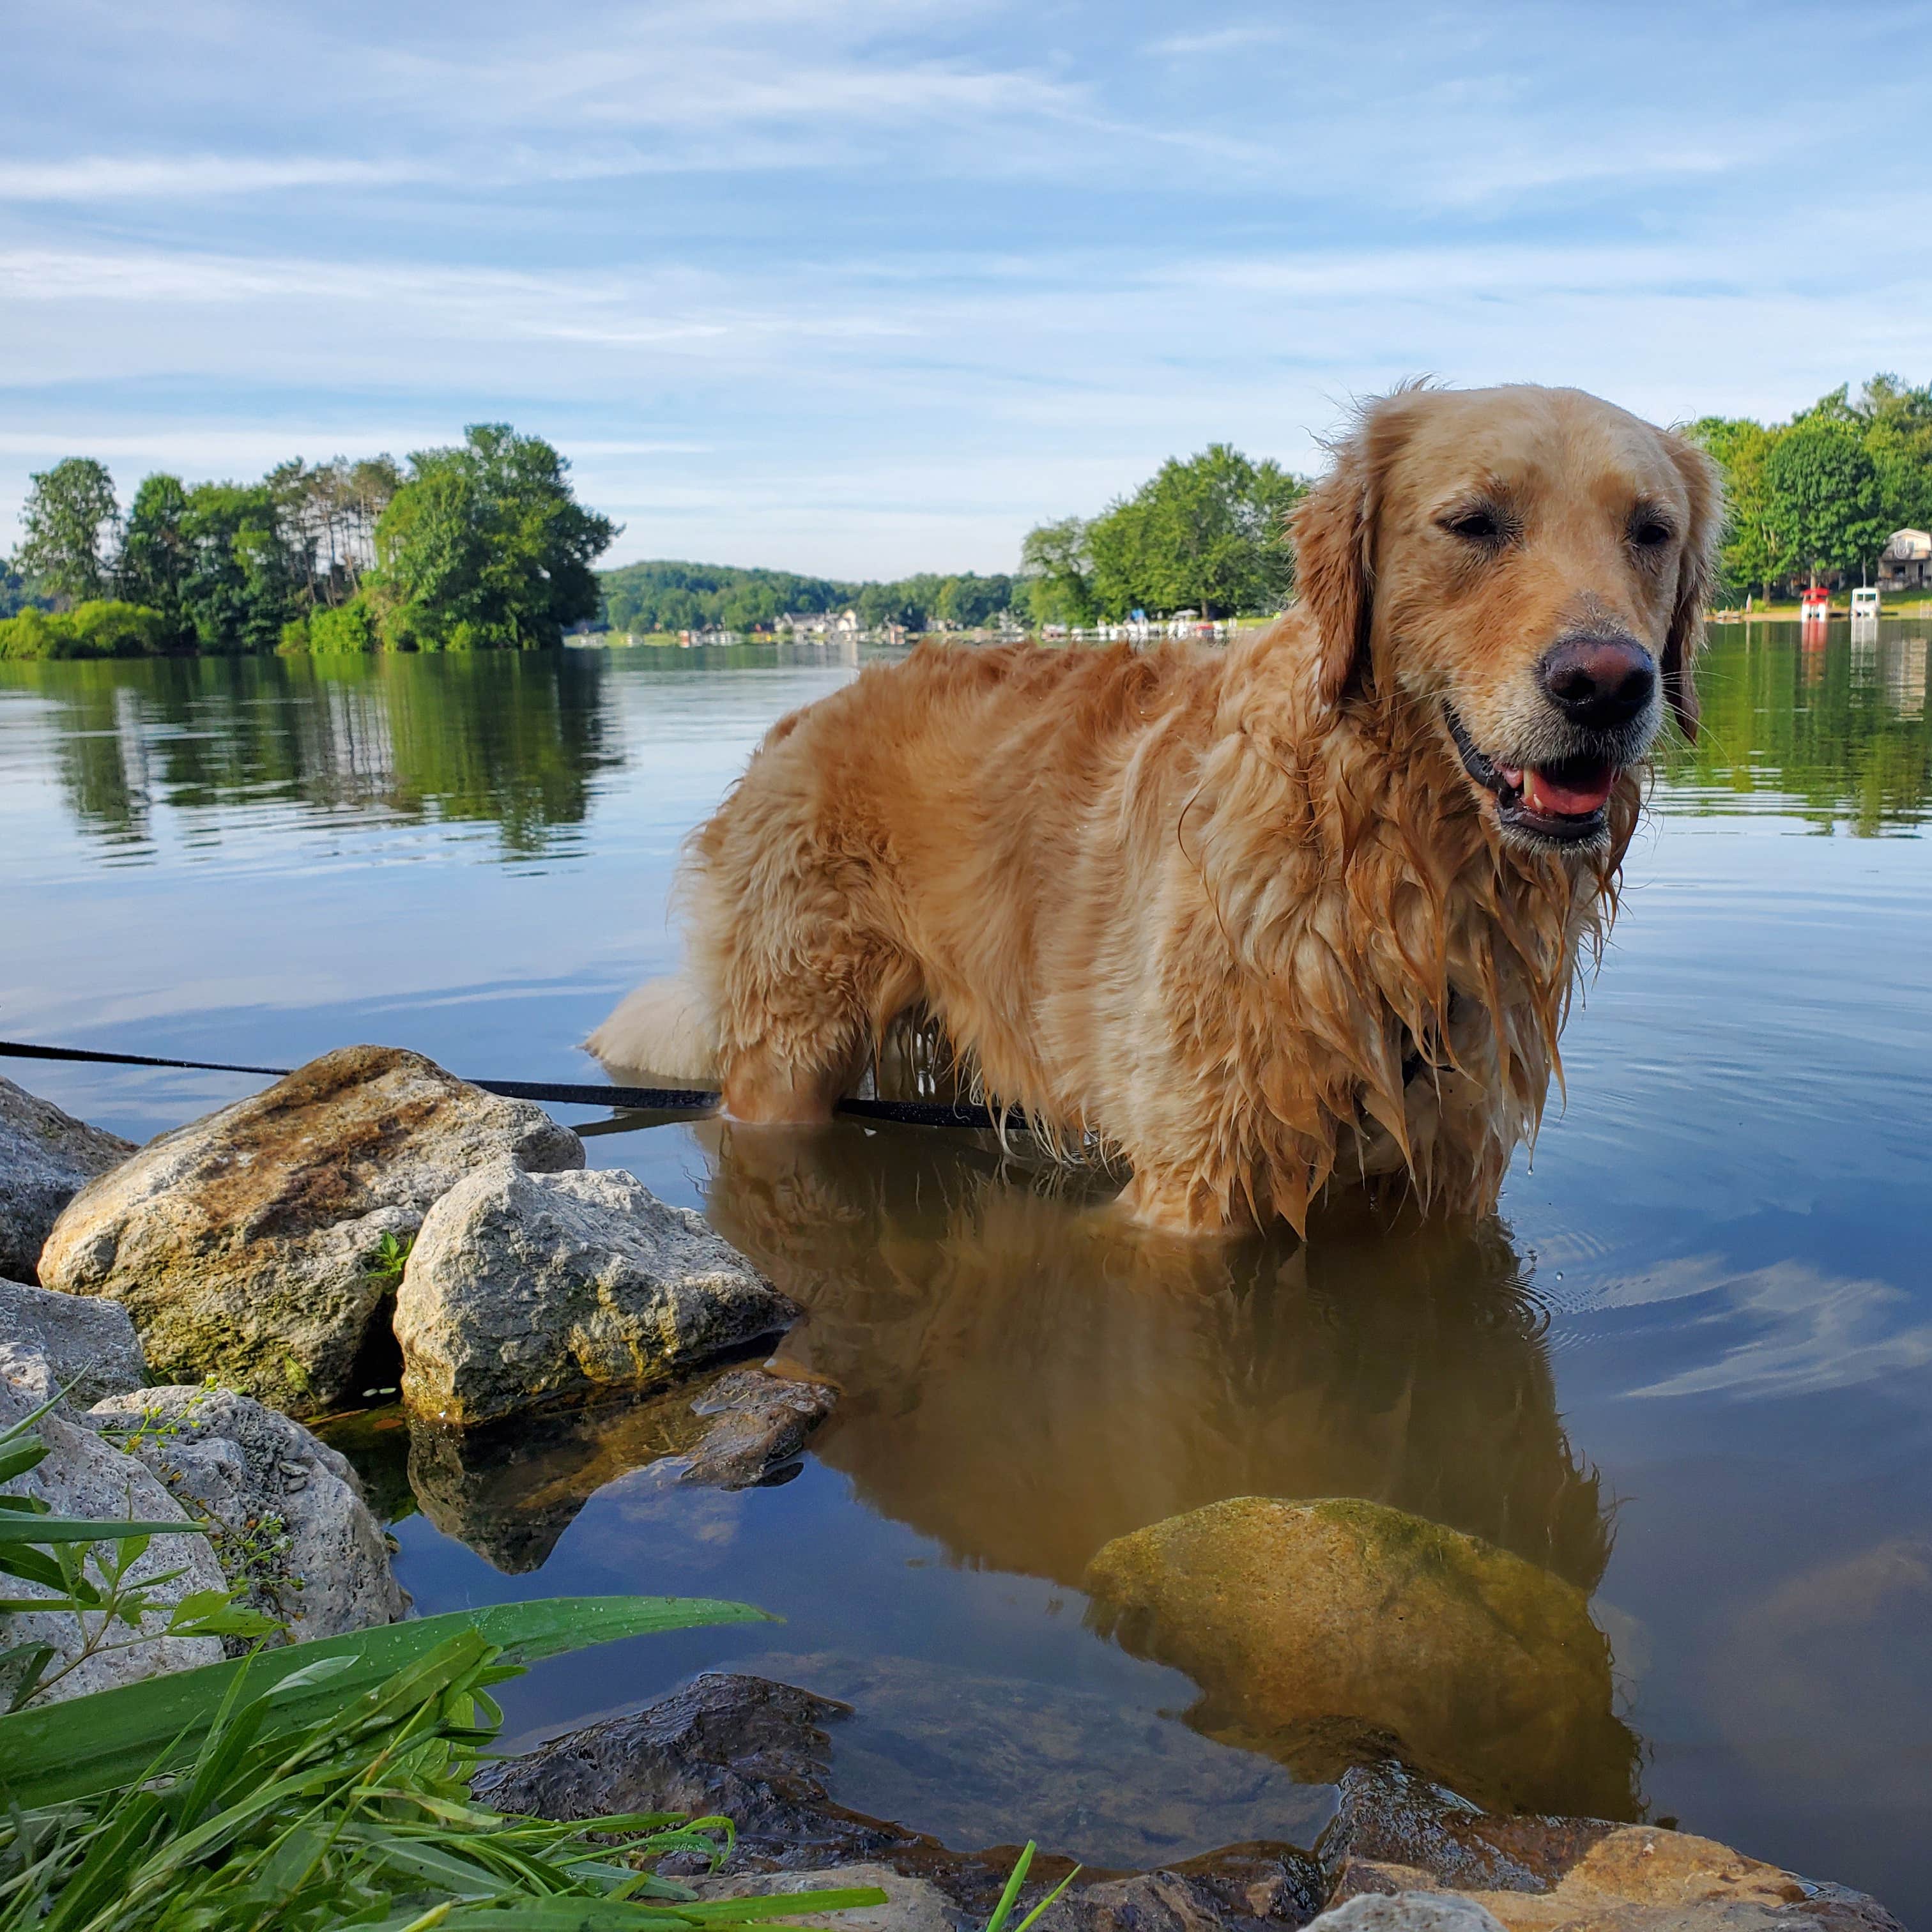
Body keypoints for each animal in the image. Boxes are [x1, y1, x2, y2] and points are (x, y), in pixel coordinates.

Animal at [587, 382, 1723, 1229]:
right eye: (1474, 524)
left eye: (1651, 531)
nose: (1608, 685)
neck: (1388, 859)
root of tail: (795, 723)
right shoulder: (1194, 1182)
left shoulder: (1449, 1181)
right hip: (788, 1059)